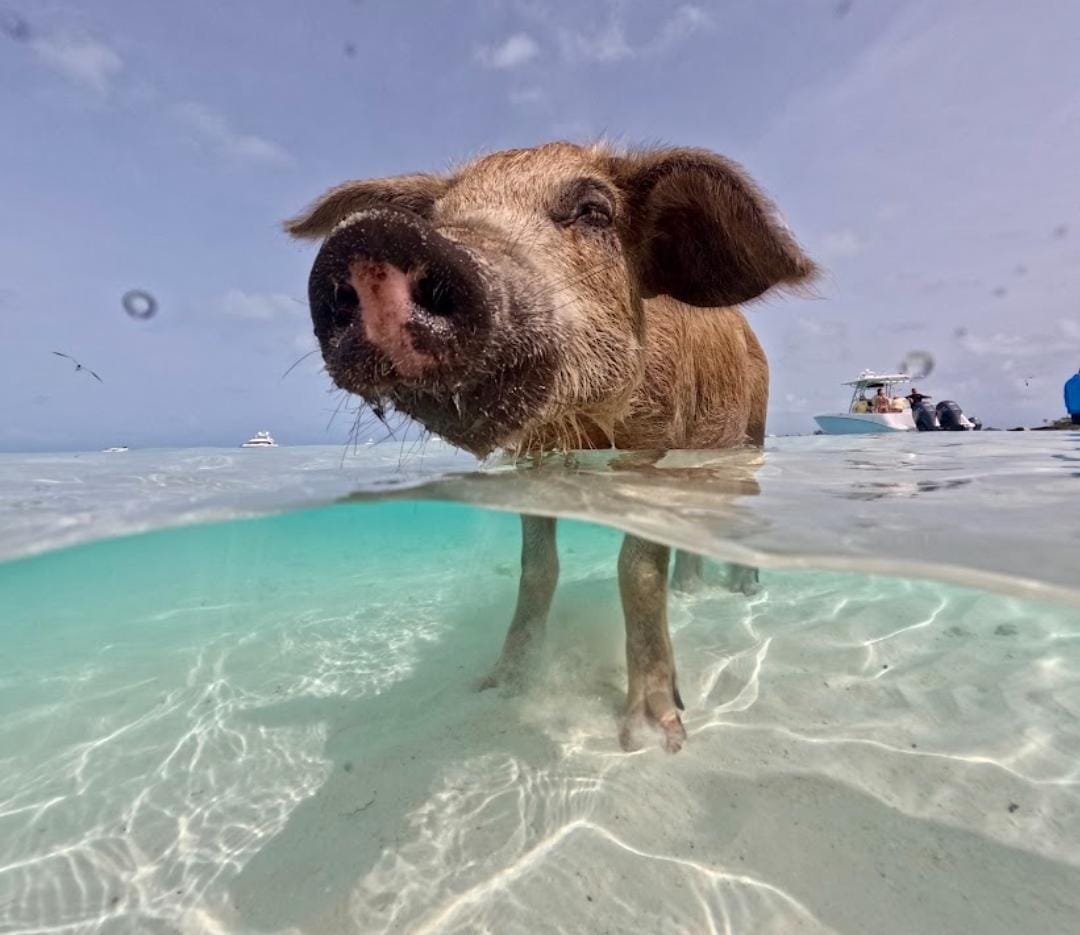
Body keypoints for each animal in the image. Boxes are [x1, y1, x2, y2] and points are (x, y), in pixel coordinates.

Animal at [287, 142, 815, 752]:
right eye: (439, 217)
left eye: (594, 211)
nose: (372, 236)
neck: (584, 430)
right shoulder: (532, 464)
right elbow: (537, 568)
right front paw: (498, 686)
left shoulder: (654, 447)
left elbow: (636, 572)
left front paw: (654, 737)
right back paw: (688, 594)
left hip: (749, 434)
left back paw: (744, 594)